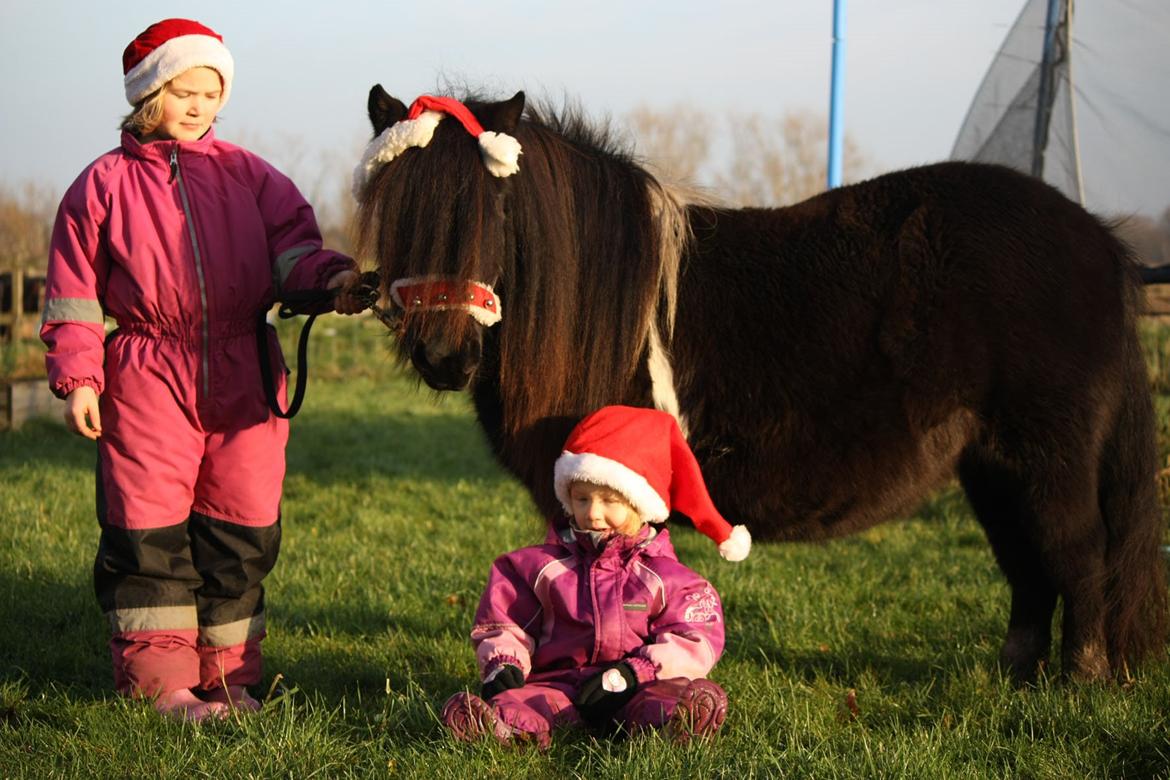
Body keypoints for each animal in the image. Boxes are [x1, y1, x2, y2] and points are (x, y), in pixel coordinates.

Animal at [355, 87, 1170, 682]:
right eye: (399, 207)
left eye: (493, 212)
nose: (443, 355)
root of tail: (1100, 241)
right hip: (992, 466)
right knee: (1027, 566)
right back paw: (1012, 677)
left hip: (1048, 459)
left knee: (1077, 555)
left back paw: (1080, 681)